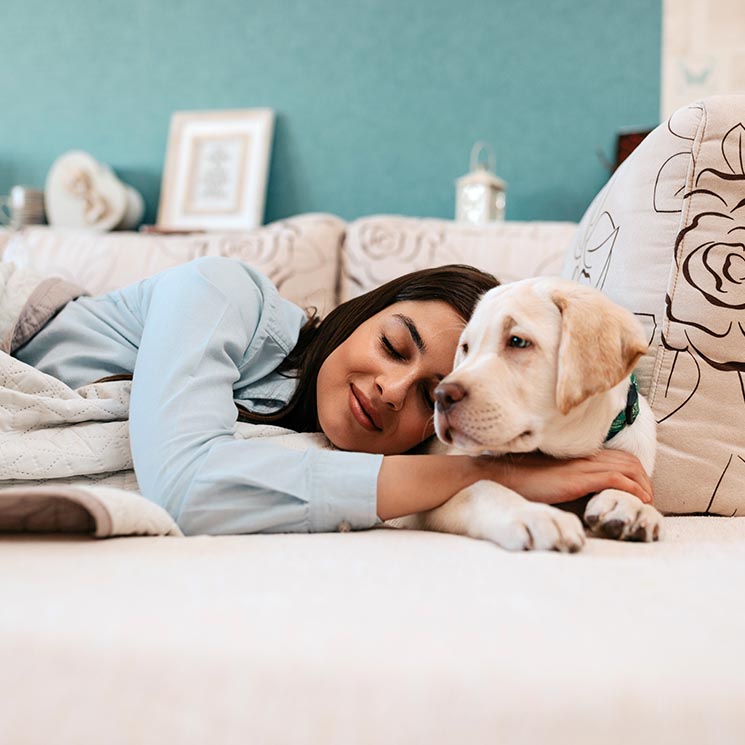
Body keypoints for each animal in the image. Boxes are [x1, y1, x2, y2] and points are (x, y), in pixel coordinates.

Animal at [392, 278, 660, 552]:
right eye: (466, 348)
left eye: (518, 341)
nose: (441, 395)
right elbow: (479, 486)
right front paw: (534, 514)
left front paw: (627, 503)